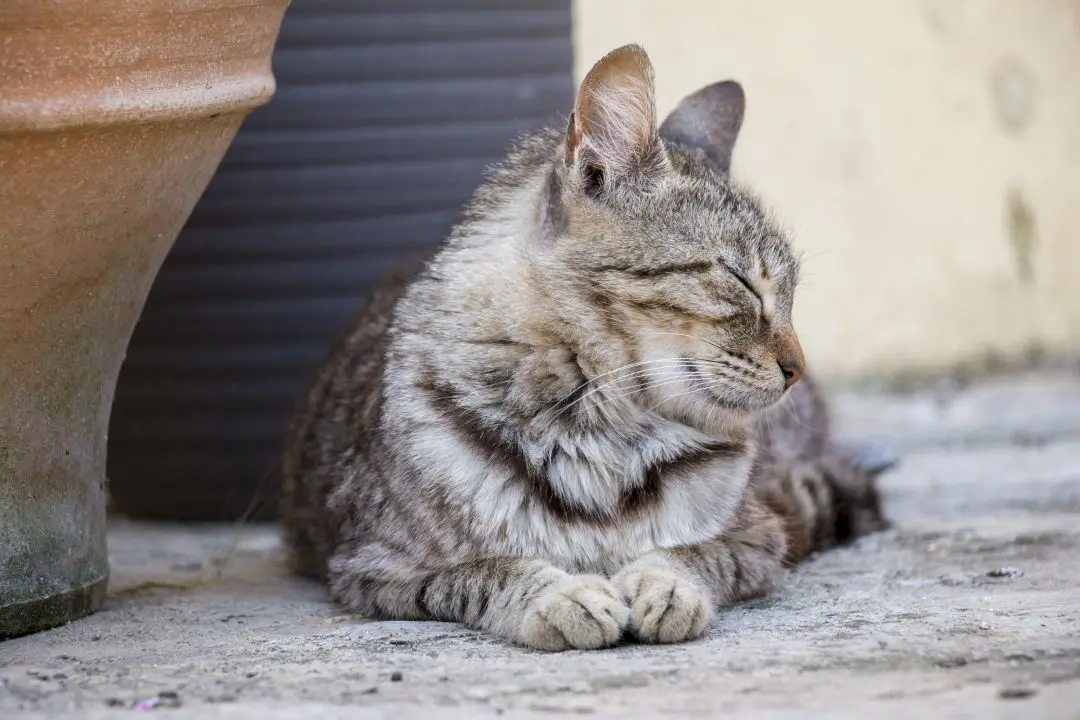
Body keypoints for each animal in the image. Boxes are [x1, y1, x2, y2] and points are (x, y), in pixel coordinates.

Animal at [280, 45, 894, 651]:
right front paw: (560, 595)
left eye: (791, 294)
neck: (604, 433)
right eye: (741, 281)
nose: (797, 367)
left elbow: (691, 555)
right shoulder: (374, 569)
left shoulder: (761, 539)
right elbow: (488, 571)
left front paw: (665, 586)